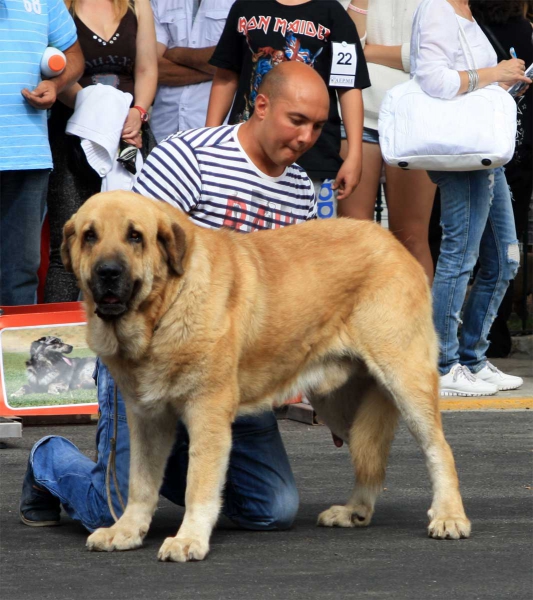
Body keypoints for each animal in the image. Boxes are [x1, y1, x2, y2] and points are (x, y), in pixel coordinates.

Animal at [63, 190, 470, 560]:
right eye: (90, 236)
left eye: (135, 236)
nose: (108, 272)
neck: (165, 309)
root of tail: (392, 241)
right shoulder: (147, 418)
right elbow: (140, 483)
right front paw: (127, 530)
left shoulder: (207, 415)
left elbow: (198, 484)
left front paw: (188, 539)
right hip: (337, 403)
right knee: (369, 454)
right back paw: (355, 510)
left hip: (404, 380)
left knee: (440, 449)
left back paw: (449, 517)